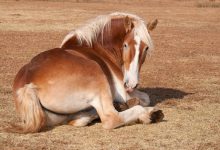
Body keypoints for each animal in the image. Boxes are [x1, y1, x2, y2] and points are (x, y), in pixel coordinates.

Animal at [11, 12, 163, 132]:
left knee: (78, 119)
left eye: (146, 48)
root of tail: (29, 85)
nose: (131, 84)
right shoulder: (123, 93)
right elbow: (145, 98)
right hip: (98, 77)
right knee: (111, 118)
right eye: (125, 45)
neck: (98, 48)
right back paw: (149, 114)